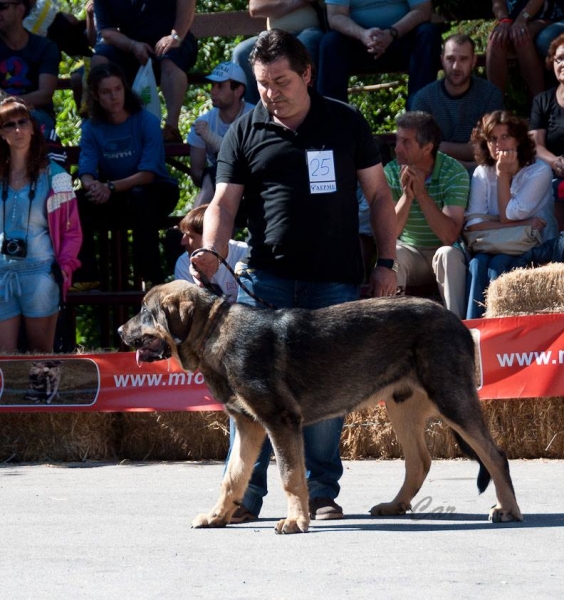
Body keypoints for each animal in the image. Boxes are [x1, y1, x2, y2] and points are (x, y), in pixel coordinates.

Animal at [119, 282, 524, 536]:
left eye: (144, 312)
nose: (121, 331)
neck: (213, 331)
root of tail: (457, 320)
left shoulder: (281, 421)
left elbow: (290, 476)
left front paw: (295, 522)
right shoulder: (249, 425)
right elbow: (232, 477)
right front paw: (218, 517)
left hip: (451, 397)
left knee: (494, 455)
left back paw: (509, 511)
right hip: (402, 406)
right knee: (419, 462)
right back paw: (395, 506)